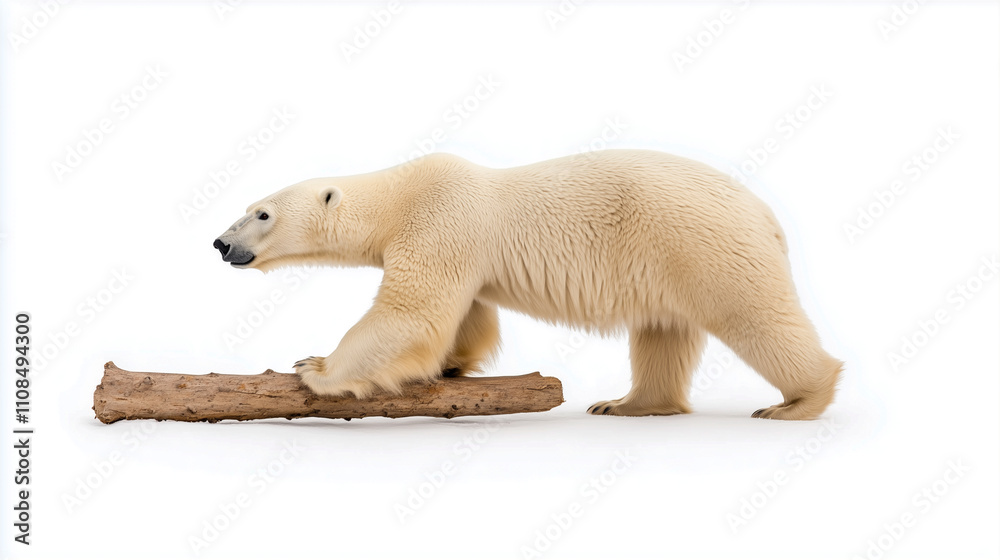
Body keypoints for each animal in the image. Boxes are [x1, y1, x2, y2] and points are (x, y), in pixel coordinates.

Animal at [213, 149, 842, 420]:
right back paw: (628, 404)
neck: (400, 192)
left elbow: (411, 312)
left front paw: (315, 368)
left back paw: (797, 401)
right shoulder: (461, 248)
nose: (220, 243)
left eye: (262, 213)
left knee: (757, 318)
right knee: (662, 332)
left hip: (705, 244)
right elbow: (467, 315)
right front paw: (452, 367)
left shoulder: (440, 218)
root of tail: (767, 214)